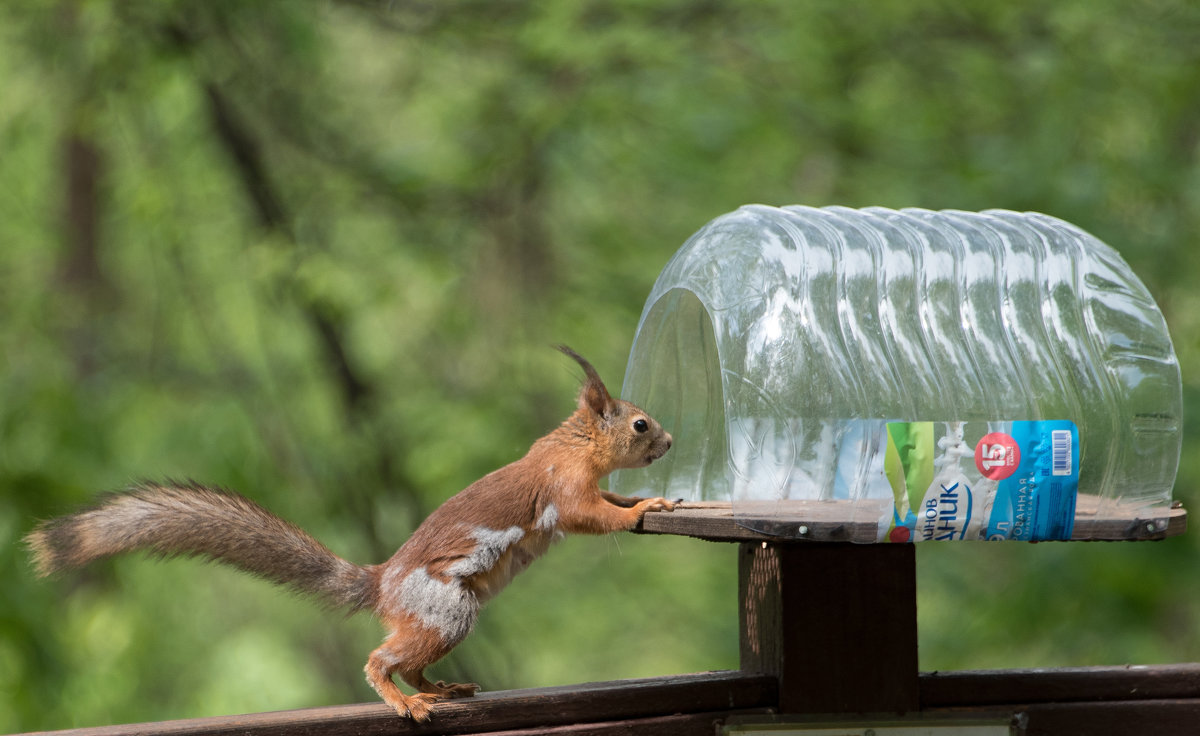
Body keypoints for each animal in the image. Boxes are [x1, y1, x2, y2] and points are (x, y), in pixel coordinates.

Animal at [23, 348, 676, 720]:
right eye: (641, 424)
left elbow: (610, 500)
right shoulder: (565, 490)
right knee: (380, 661)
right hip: (445, 609)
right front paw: (645, 505)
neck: (575, 445)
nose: (669, 443)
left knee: (409, 662)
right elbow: (594, 515)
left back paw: (440, 690)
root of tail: (383, 585)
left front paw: (649, 498)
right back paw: (406, 701)